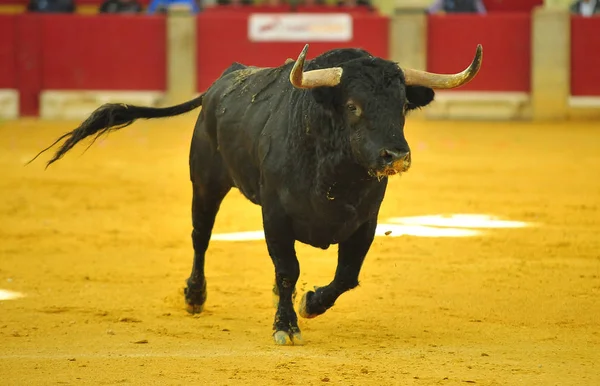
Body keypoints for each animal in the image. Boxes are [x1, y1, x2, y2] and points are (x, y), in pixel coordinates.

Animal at [29, 43, 482, 346]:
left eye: (402, 105)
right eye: (353, 106)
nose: (396, 156)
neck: (334, 168)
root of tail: (218, 84)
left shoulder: (365, 223)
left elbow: (345, 277)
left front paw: (310, 303)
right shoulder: (275, 217)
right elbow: (287, 269)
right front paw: (286, 325)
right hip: (205, 183)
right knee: (200, 237)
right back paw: (195, 296)